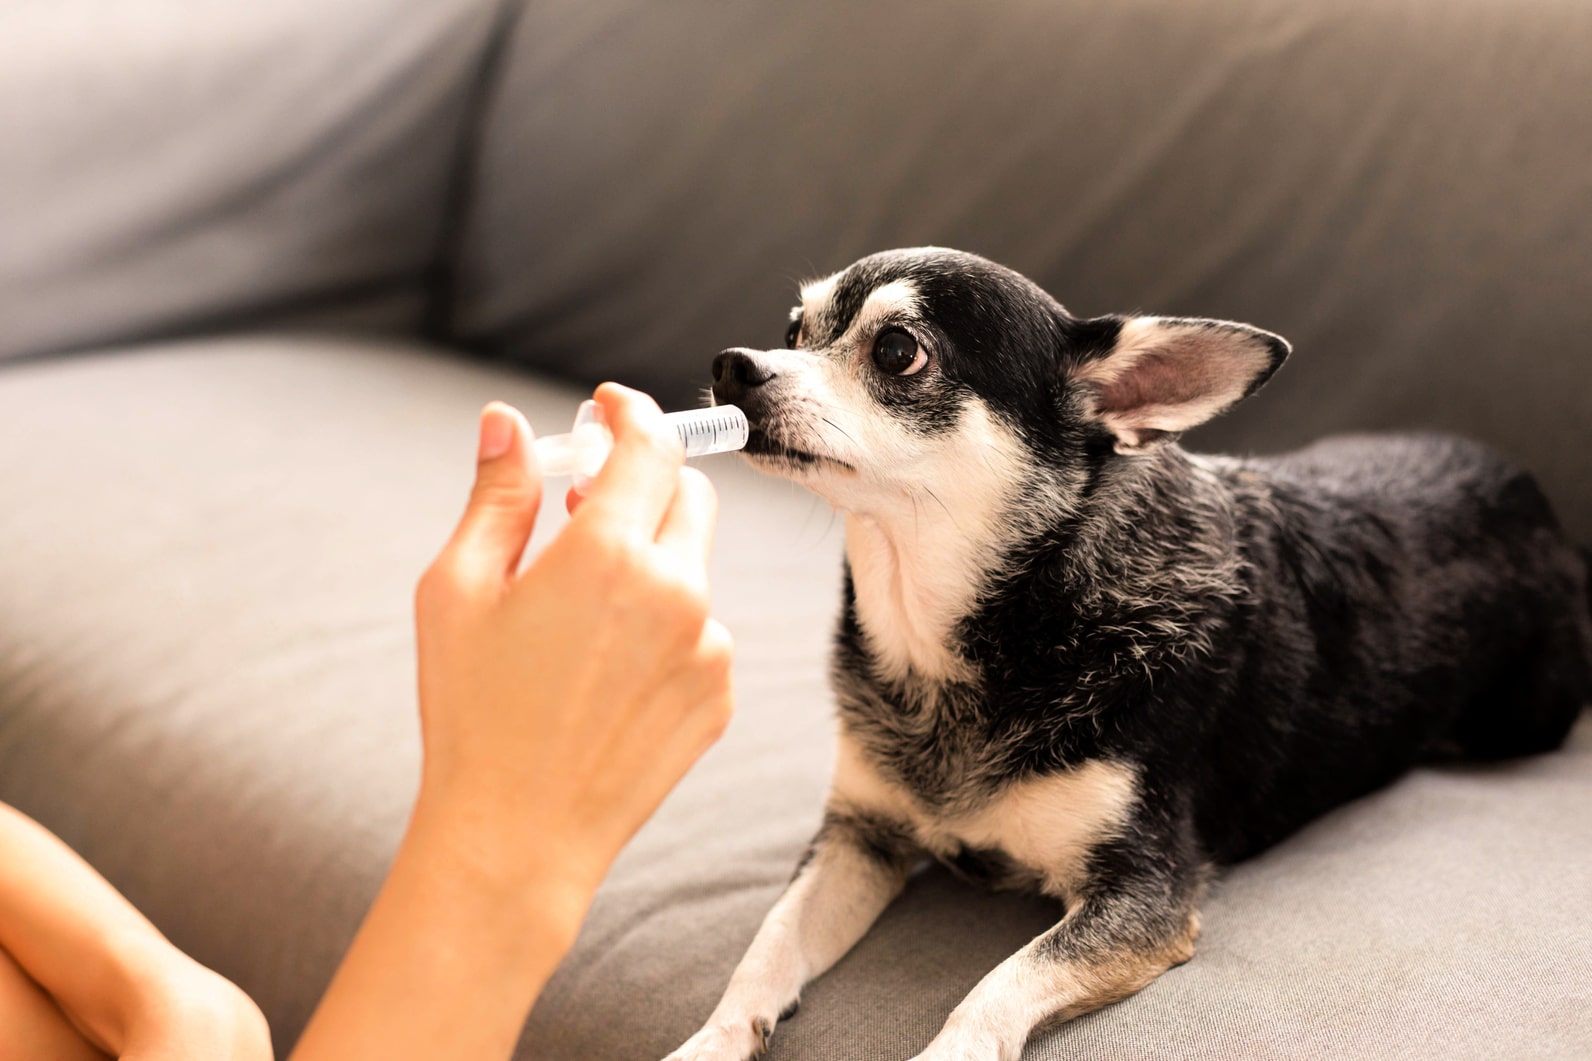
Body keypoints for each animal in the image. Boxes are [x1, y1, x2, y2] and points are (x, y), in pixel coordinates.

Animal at [662, 245, 1592, 1057]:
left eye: (897, 351)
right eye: (794, 330)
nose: (733, 364)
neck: (970, 638)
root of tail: (1538, 501)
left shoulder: (1143, 896)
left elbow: (994, 986)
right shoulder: (861, 836)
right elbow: (767, 946)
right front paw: (710, 1040)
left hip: (1521, 717)